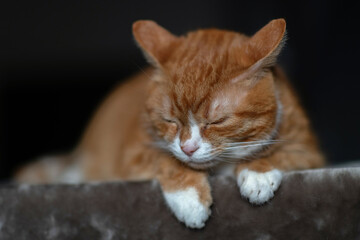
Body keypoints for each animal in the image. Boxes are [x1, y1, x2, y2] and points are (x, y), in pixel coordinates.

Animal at [14, 18, 324, 229]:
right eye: (170, 120)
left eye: (217, 121)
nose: (188, 147)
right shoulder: (134, 156)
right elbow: (168, 161)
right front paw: (191, 200)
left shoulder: (309, 152)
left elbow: (278, 153)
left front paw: (258, 174)